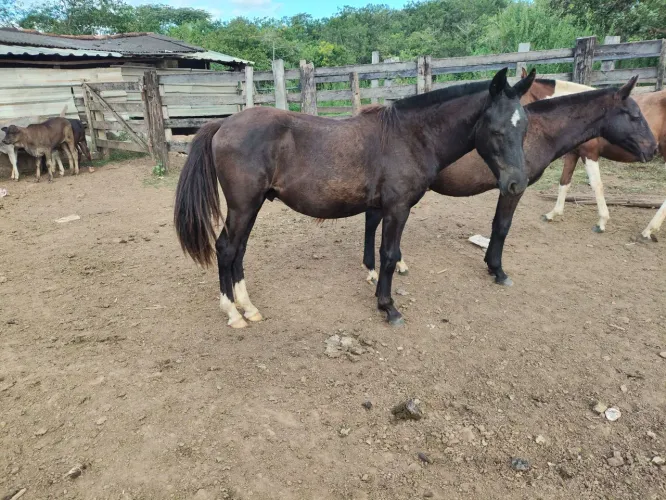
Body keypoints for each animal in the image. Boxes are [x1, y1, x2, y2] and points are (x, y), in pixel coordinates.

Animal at [174, 68, 536, 328]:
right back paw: (233, 313)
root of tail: (223, 124)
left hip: (253, 205)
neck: (410, 137)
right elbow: (388, 255)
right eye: (496, 129)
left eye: (525, 128)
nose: (517, 183)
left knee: (238, 251)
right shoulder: (397, 208)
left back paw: (247, 307)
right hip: (244, 205)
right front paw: (388, 308)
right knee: (227, 249)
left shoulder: (382, 207)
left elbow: (381, 249)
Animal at [362, 76, 657, 286]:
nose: (653, 148)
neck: (540, 131)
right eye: (634, 116)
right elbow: (502, 226)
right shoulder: (513, 188)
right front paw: (497, 270)